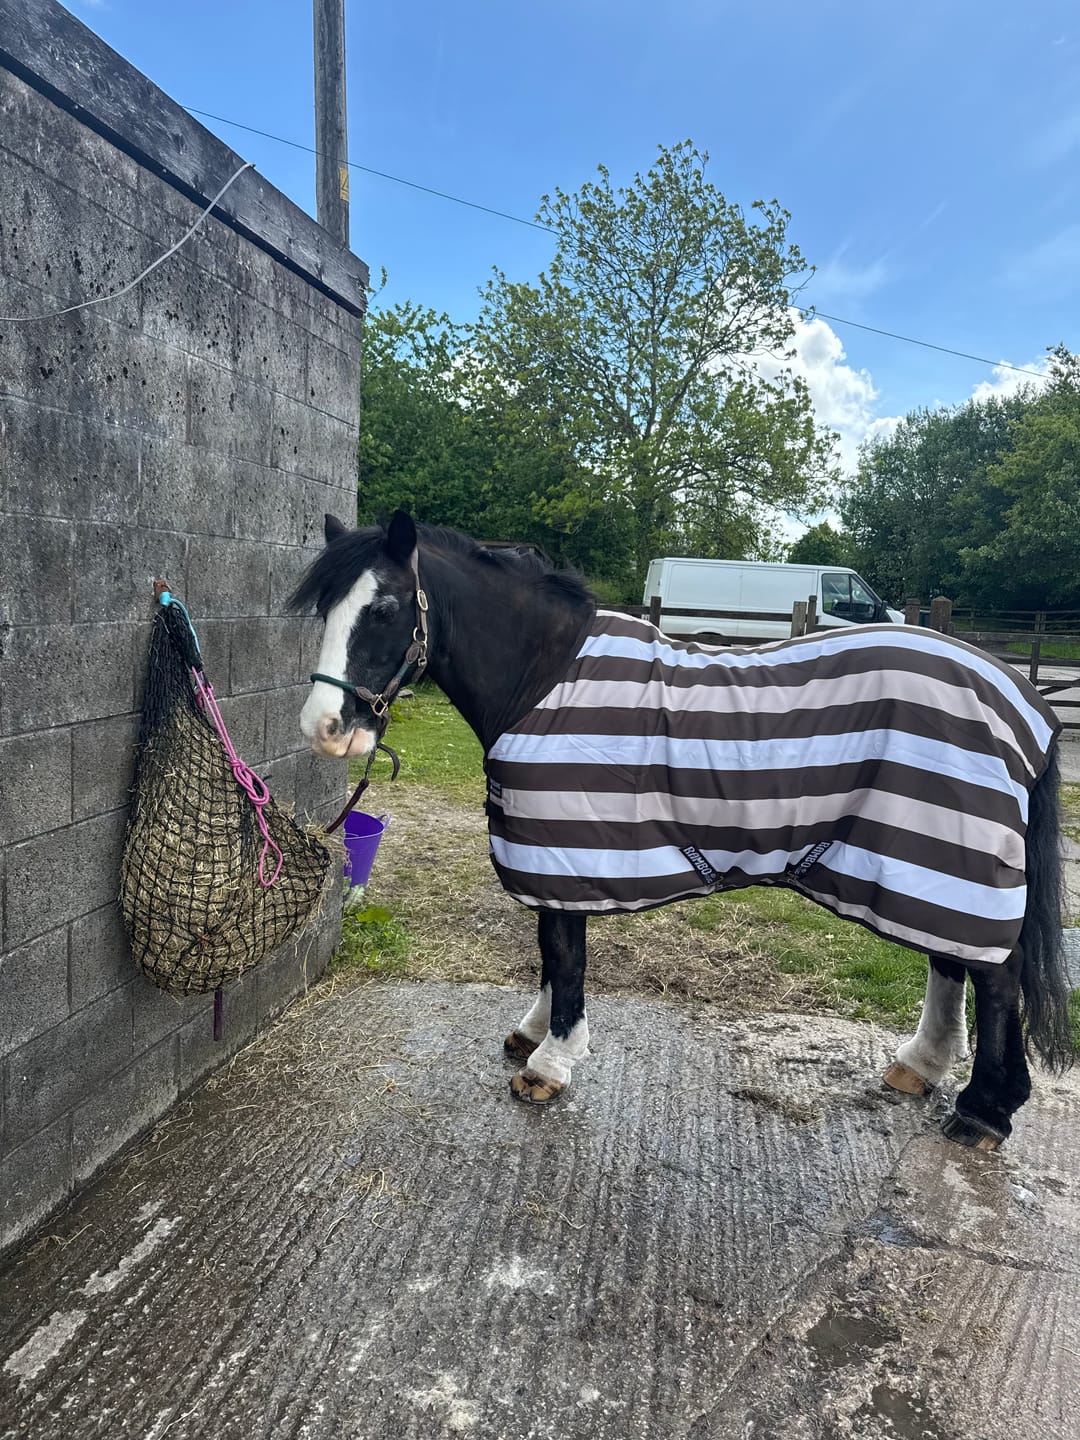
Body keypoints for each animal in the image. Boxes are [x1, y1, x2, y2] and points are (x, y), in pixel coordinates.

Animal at [290, 510, 1074, 1149]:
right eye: (325, 608)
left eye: (384, 607)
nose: (324, 729)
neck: (544, 680)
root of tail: (1024, 698)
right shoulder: (549, 850)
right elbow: (547, 947)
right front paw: (535, 1033)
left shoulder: (566, 844)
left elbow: (564, 954)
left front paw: (552, 1063)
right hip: (923, 859)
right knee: (951, 963)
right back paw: (921, 1067)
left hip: (952, 856)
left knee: (994, 977)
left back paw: (983, 1112)